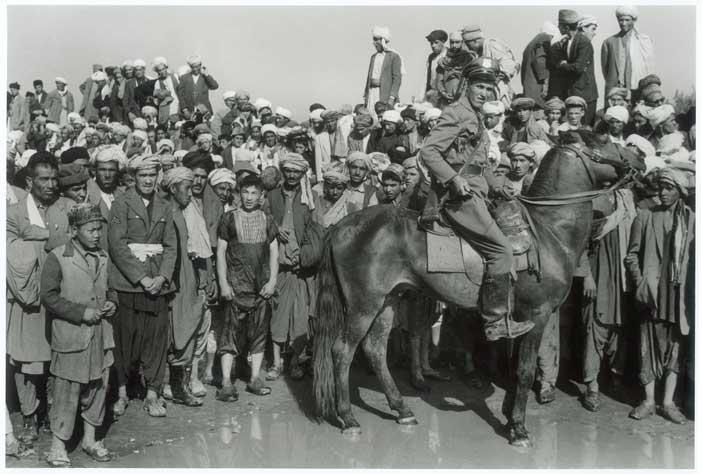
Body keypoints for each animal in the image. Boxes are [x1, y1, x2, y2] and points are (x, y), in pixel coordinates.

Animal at [314, 131, 648, 448]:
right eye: (604, 139)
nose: (640, 158)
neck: (549, 231)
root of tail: (341, 227)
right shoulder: (537, 315)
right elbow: (526, 371)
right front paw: (518, 429)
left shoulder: (522, 320)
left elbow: (515, 371)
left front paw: (509, 415)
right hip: (363, 306)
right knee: (342, 351)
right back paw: (348, 418)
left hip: (388, 302)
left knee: (375, 350)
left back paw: (402, 410)